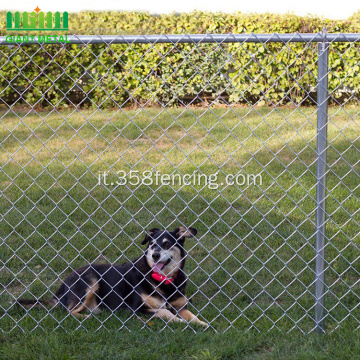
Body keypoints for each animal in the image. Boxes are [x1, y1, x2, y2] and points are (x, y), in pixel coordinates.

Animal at [18, 228, 207, 326]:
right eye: (152, 244)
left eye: (167, 244)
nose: (154, 255)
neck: (164, 280)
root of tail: (62, 286)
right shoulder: (138, 308)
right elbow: (165, 311)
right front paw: (180, 322)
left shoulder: (181, 306)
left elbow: (193, 316)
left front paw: (203, 324)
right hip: (90, 281)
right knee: (67, 311)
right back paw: (87, 317)